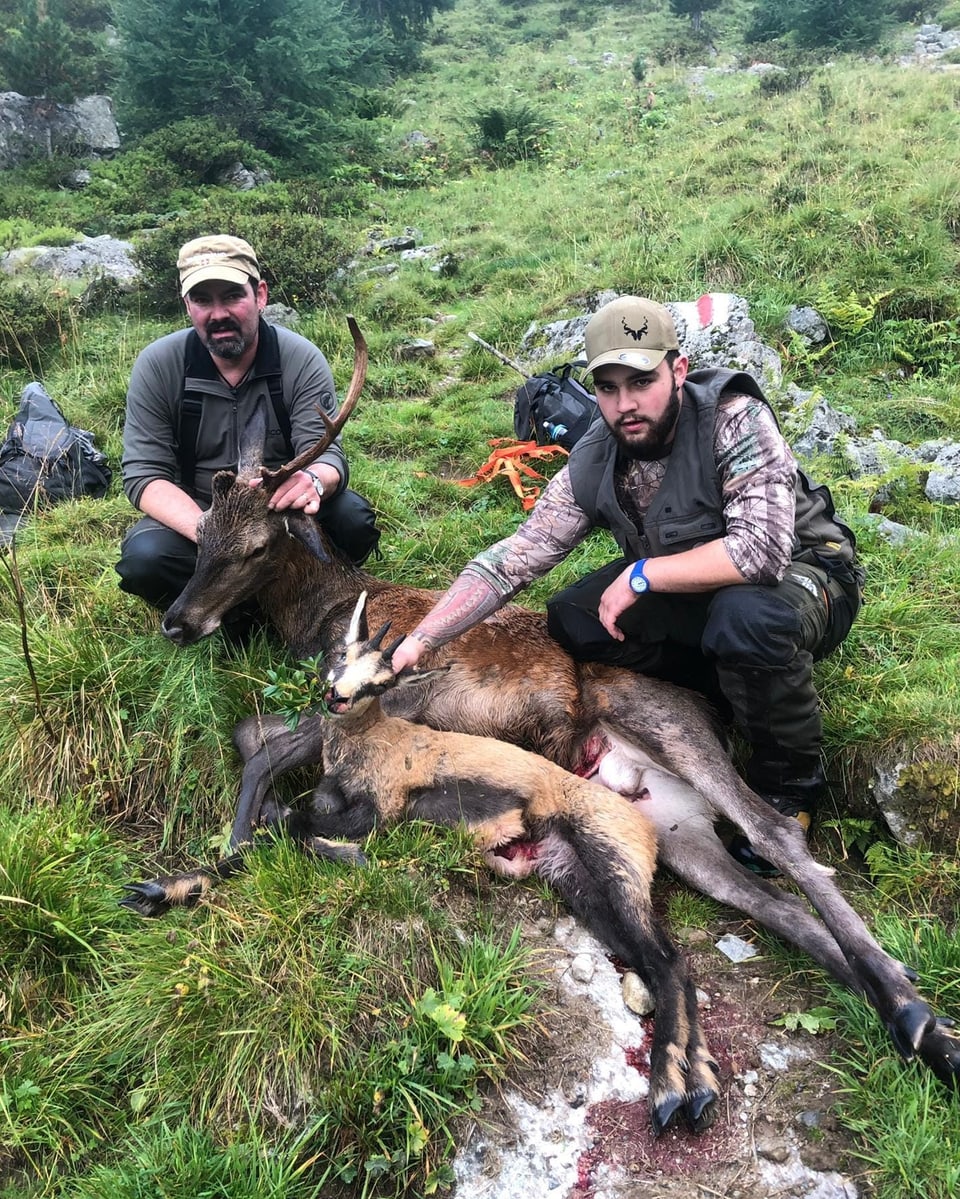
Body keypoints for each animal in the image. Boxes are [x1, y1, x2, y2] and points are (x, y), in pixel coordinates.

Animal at [125, 316, 958, 1098]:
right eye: (201, 532)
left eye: (256, 545)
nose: (179, 621)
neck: (318, 619)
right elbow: (249, 735)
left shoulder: (383, 708)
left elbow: (261, 753)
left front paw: (213, 864)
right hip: (673, 824)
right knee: (772, 905)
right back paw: (919, 1023)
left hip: (667, 724)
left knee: (778, 830)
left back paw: (912, 1006)